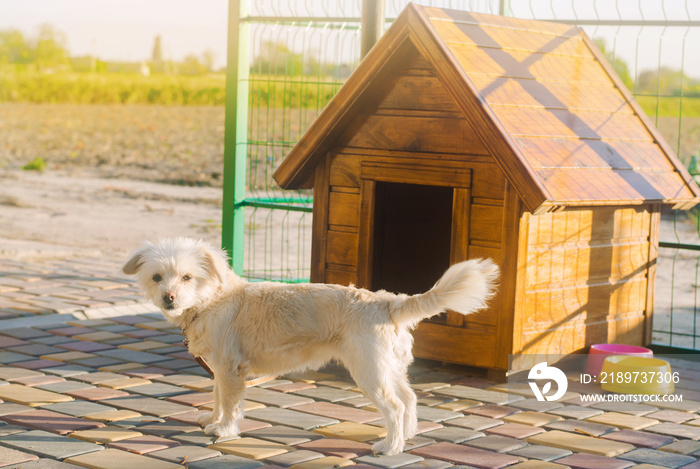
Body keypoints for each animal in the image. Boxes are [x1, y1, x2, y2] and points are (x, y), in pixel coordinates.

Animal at [124, 236, 498, 456]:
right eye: (157, 277)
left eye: (187, 277)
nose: (169, 297)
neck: (212, 300)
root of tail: (386, 301)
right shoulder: (220, 371)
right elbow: (217, 398)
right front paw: (212, 420)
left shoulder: (231, 370)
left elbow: (230, 405)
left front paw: (225, 430)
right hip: (389, 369)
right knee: (408, 400)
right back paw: (407, 437)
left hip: (370, 374)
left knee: (394, 407)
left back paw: (390, 447)